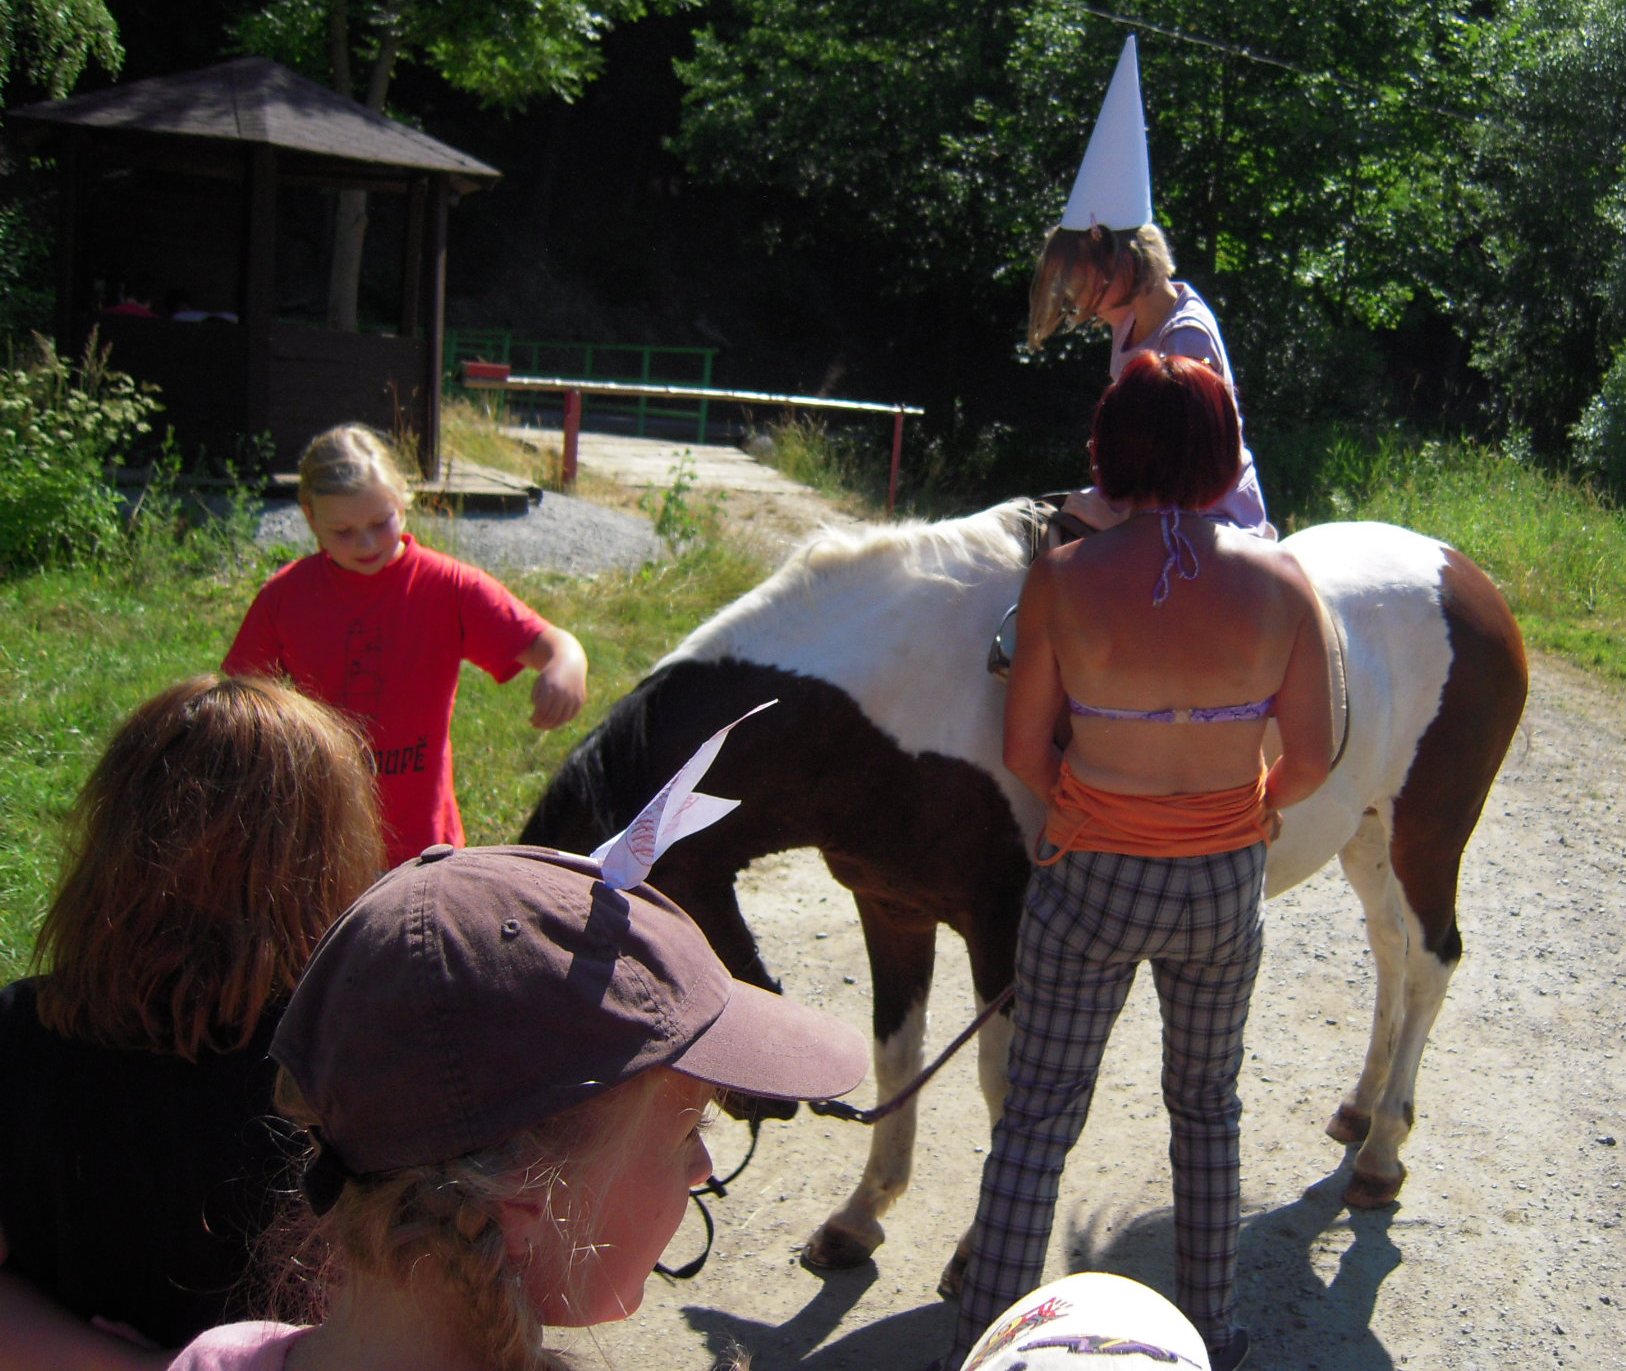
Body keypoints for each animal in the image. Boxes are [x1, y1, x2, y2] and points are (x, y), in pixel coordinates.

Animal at [519, 499, 1528, 1283]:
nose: (753, 1103)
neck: (898, 710)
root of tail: (1465, 576)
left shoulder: (1006, 929)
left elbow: (1006, 1086)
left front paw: (977, 1253)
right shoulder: (892, 908)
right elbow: (896, 1056)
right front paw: (860, 1215)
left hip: (1429, 833)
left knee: (1432, 961)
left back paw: (1383, 1153)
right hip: (1369, 834)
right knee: (1392, 953)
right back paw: (1361, 1109)